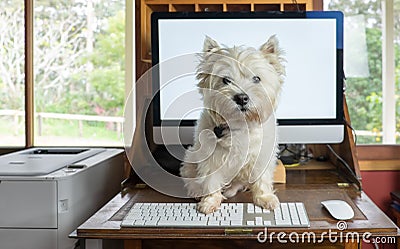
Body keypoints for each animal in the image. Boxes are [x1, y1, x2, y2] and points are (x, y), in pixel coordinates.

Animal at [180, 35, 286, 214]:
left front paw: (265, 198)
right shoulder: (211, 158)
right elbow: (211, 181)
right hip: (191, 156)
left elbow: (262, 179)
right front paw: (209, 202)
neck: (240, 124)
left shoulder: (261, 156)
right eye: (226, 80)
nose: (241, 98)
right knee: (189, 175)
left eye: (257, 78)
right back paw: (196, 191)